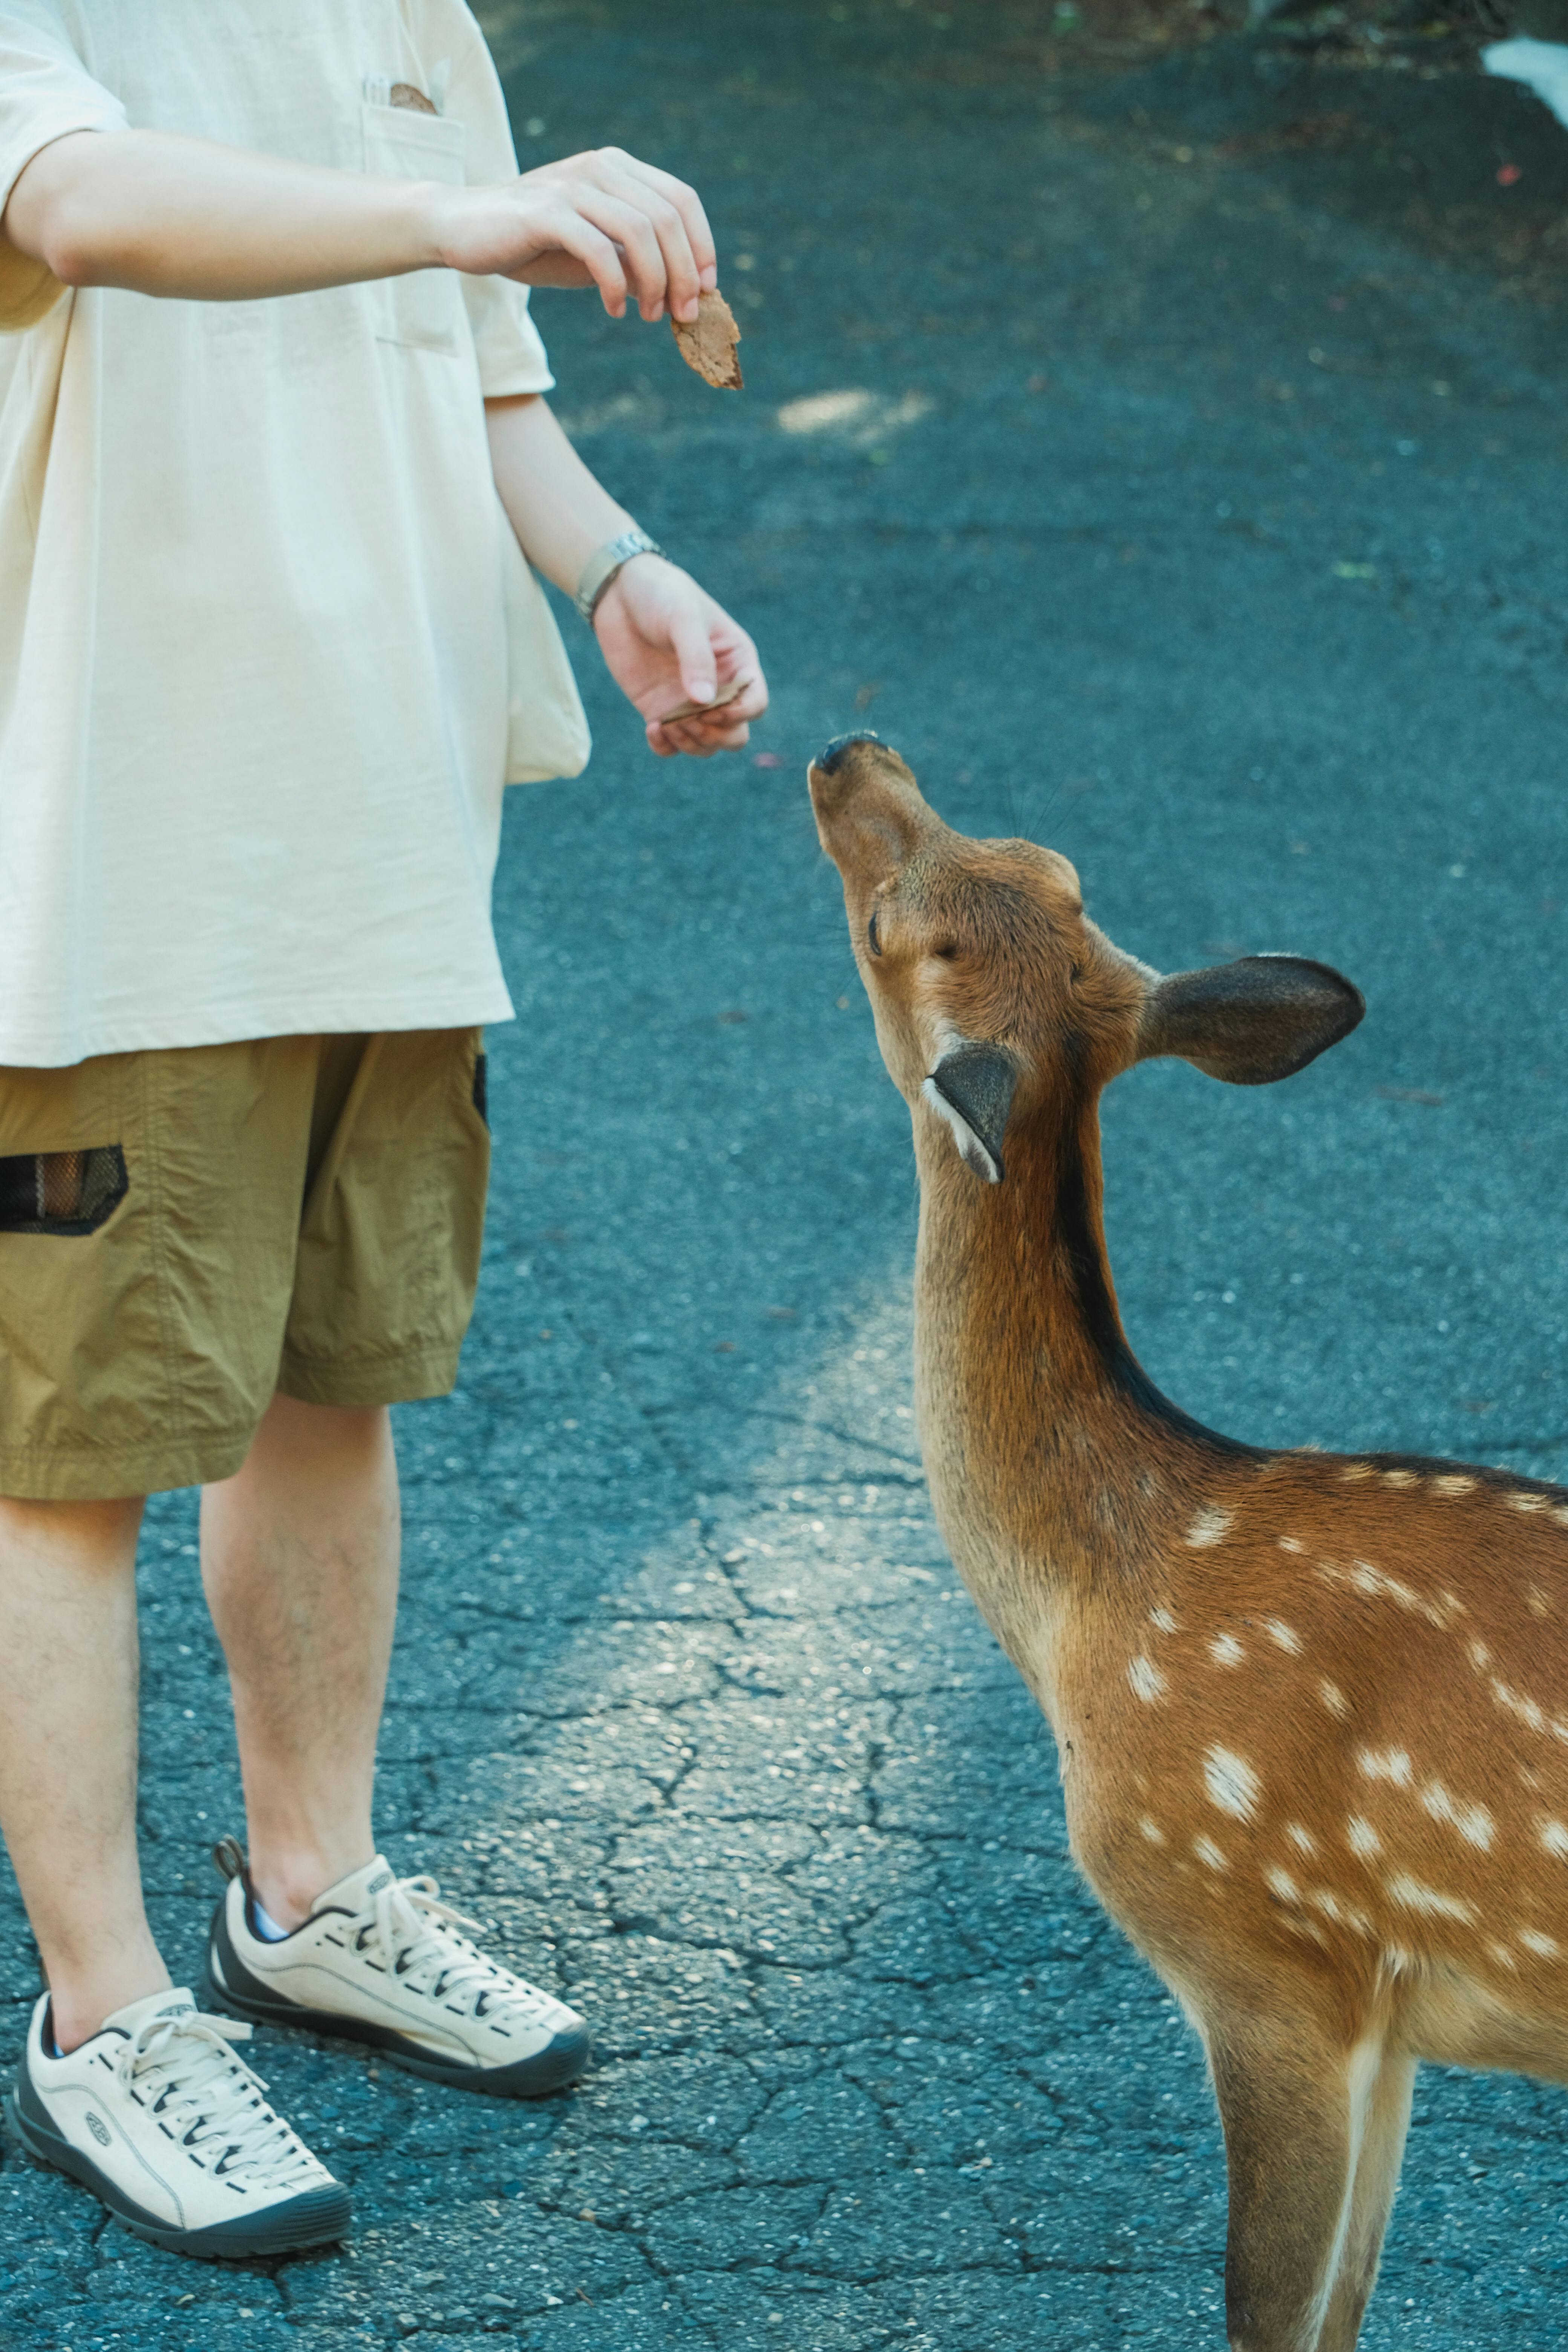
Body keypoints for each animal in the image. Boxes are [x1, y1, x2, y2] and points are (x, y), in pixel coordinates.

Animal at [809, 730, 1568, 2352]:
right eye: (1044, 862)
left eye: (888, 930)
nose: (849, 753)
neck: (1095, 1602)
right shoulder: (1388, 2010)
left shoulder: (1266, 1950)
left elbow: (1268, 2316)